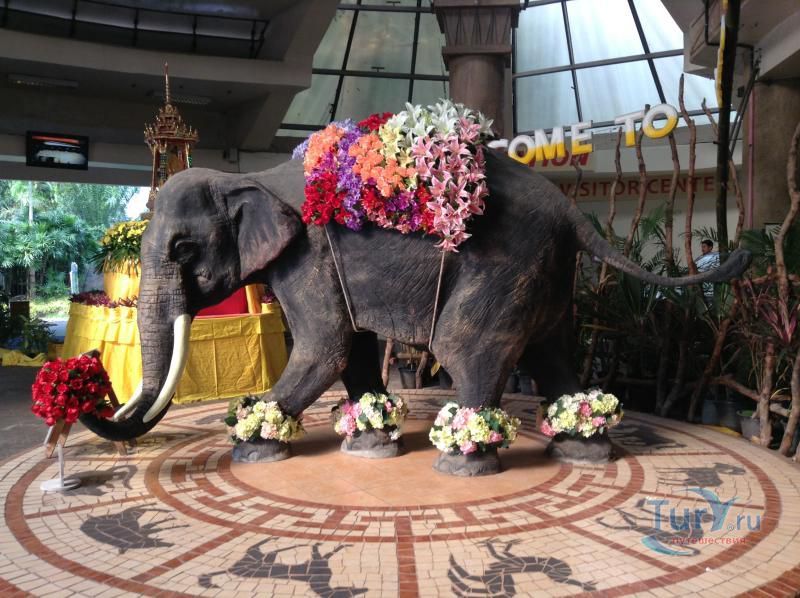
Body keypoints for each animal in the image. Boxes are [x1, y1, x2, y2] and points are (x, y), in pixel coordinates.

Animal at [79, 150, 750, 446]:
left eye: (183, 250)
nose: (88, 374)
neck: (245, 176)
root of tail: (573, 213)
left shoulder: (309, 254)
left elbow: (325, 344)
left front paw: (253, 429)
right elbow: (350, 345)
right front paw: (368, 429)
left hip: (506, 265)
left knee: (466, 345)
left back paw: (465, 450)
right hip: (552, 273)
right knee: (551, 350)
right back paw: (580, 435)